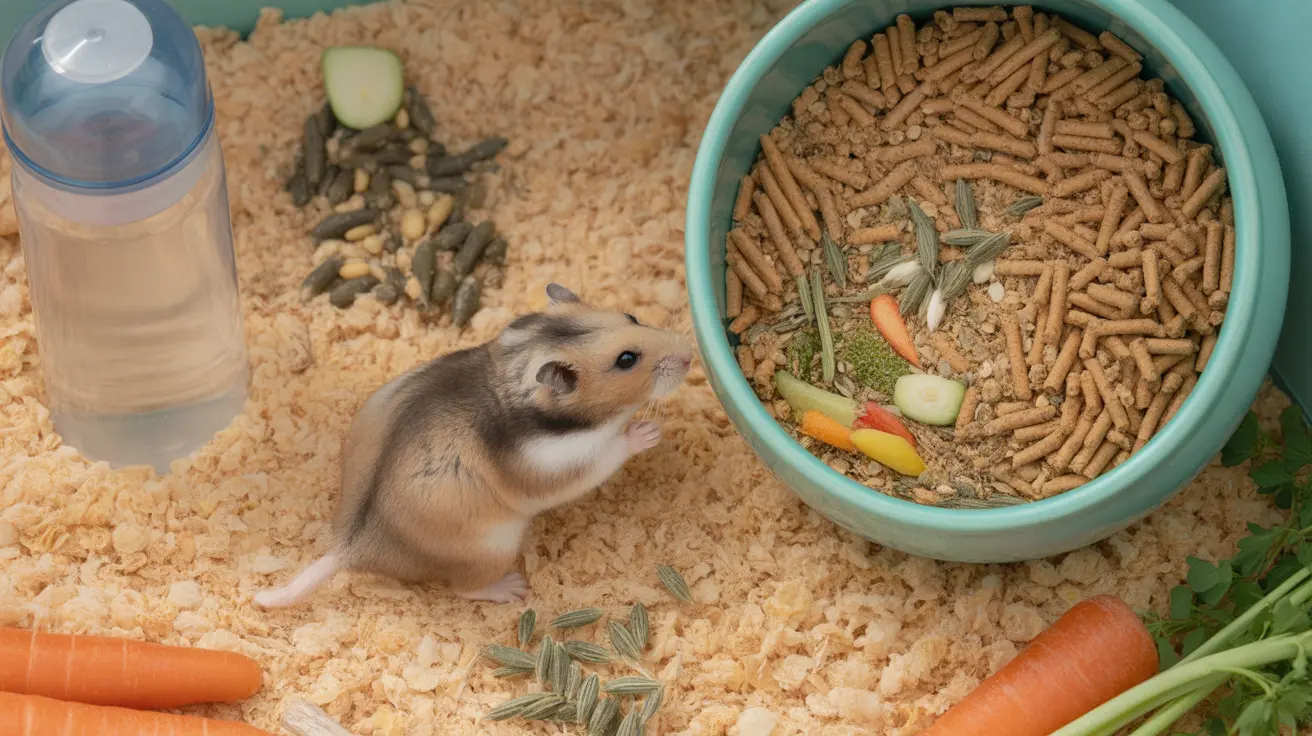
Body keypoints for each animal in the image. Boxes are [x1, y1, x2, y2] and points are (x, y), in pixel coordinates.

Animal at [254, 283, 693, 608]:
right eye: (626, 360)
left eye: (632, 317)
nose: (690, 355)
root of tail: (352, 549)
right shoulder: (561, 464)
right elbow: (607, 454)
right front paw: (649, 431)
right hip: (494, 545)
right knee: (463, 589)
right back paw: (512, 589)